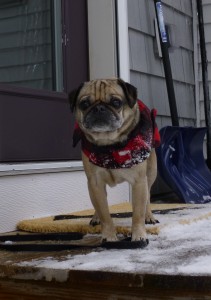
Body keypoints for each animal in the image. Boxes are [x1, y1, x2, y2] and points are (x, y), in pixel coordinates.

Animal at [69, 78, 160, 245]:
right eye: (84, 104)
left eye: (116, 102)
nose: (99, 108)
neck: (109, 145)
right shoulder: (95, 183)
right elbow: (104, 213)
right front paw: (109, 236)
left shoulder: (139, 181)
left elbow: (137, 213)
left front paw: (139, 235)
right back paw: (95, 217)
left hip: (151, 172)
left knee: (148, 197)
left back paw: (149, 216)